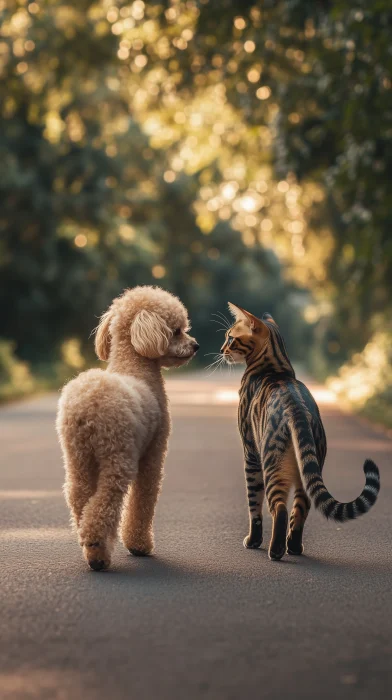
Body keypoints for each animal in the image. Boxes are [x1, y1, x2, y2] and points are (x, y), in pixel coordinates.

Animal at [220, 304, 380, 560]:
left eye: (231, 338)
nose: (222, 349)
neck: (275, 366)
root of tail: (296, 407)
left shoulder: (250, 452)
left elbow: (254, 505)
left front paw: (253, 541)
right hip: (308, 468)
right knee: (301, 509)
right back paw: (293, 547)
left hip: (271, 464)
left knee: (280, 509)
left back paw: (276, 551)